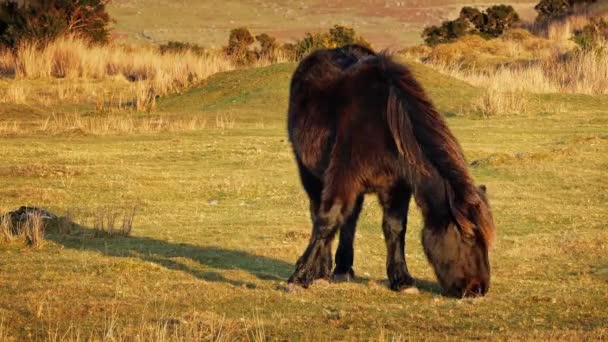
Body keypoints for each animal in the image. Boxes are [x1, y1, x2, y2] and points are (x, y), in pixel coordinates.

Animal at [284, 44, 494, 296]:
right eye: (469, 236)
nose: (478, 289)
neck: (385, 127)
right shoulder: (341, 179)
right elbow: (327, 220)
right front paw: (299, 276)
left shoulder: (397, 187)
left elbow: (395, 227)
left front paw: (402, 279)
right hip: (310, 173)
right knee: (318, 210)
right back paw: (322, 268)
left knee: (350, 220)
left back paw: (343, 269)